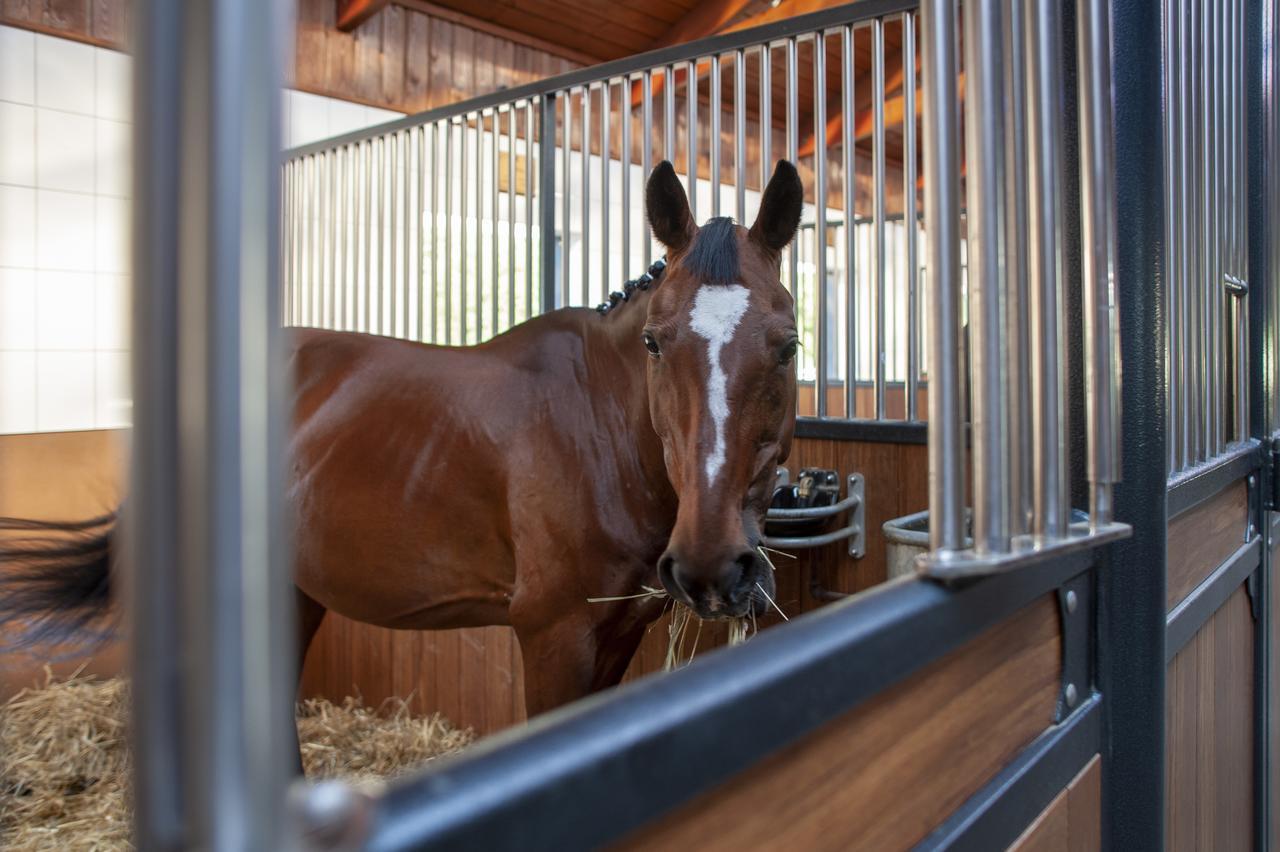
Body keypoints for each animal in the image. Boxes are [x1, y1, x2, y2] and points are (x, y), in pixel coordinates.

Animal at [0, 161, 798, 716]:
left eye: (787, 345)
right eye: (656, 343)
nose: (711, 567)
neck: (600, 432)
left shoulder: (618, 632)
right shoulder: (554, 637)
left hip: (292, 589)